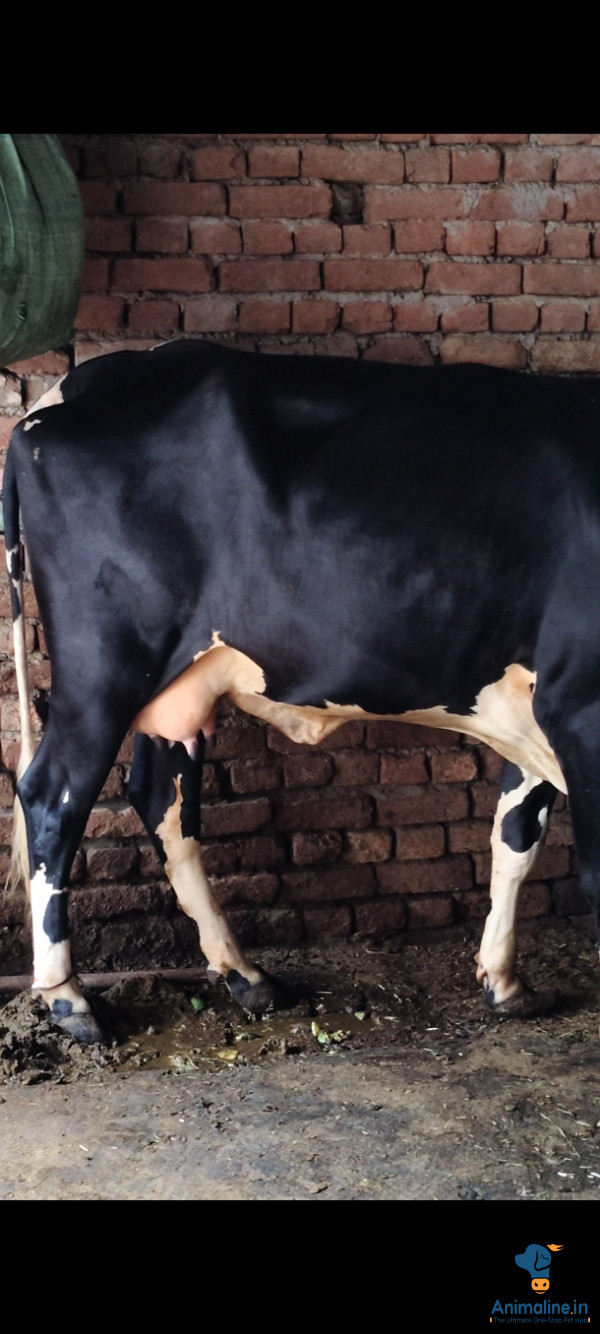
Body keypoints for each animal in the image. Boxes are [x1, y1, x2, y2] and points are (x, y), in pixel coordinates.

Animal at [2, 339, 594, 1044]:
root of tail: (80, 384)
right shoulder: (579, 704)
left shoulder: (533, 709)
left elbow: (516, 837)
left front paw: (503, 983)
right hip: (103, 670)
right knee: (51, 799)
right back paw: (70, 1001)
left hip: (176, 686)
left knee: (161, 801)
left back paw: (243, 974)